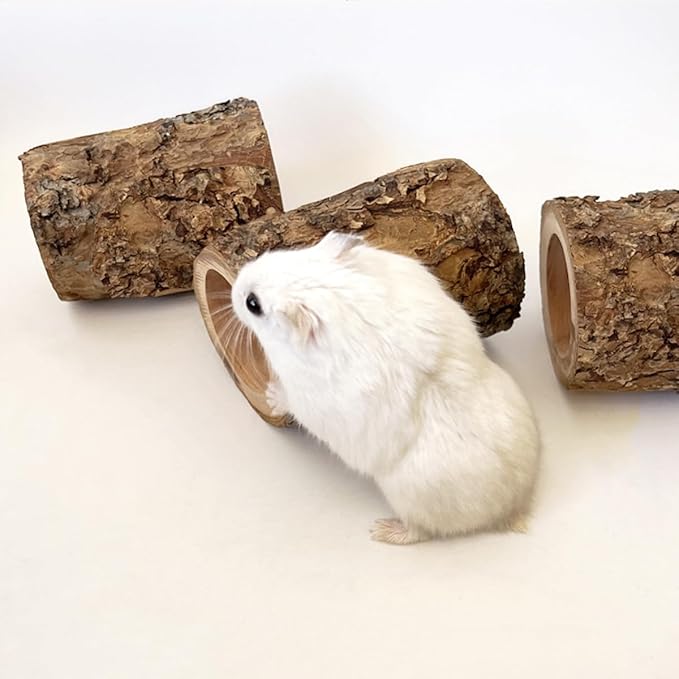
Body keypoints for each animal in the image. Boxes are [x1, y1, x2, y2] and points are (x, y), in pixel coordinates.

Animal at [231, 232, 540, 544]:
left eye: (253, 304)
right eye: (279, 254)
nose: (234, 286)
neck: (337, 298)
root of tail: (511, 509)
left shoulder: (305, 395)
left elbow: (288, 400)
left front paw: (270, 394)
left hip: (409, 500)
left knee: (420, 532)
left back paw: (381, 531)